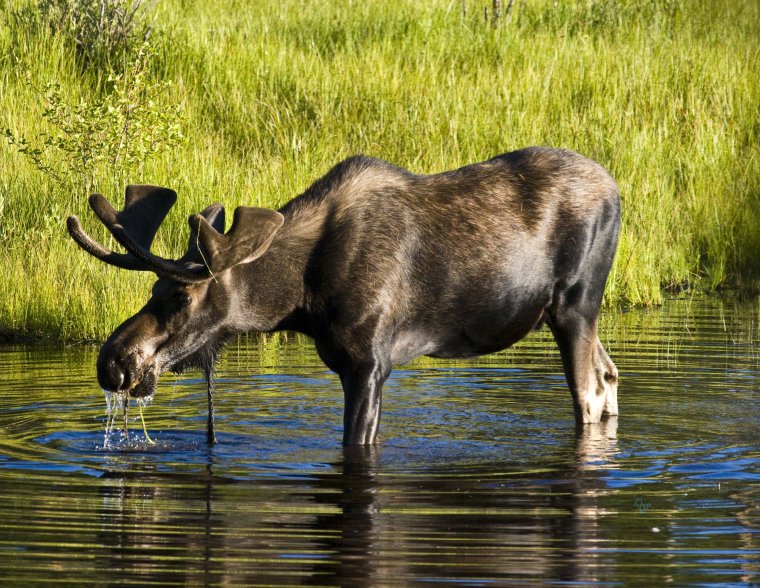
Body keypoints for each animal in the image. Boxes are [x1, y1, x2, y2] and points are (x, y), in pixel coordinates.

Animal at [67, 147, 620, 446]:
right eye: (153, 288)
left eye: (181, 298)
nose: (112, 361)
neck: (300, 299)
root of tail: (619, 190)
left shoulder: (369, 362)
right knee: (609, 374)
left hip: (576, 302)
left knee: (589, 392)